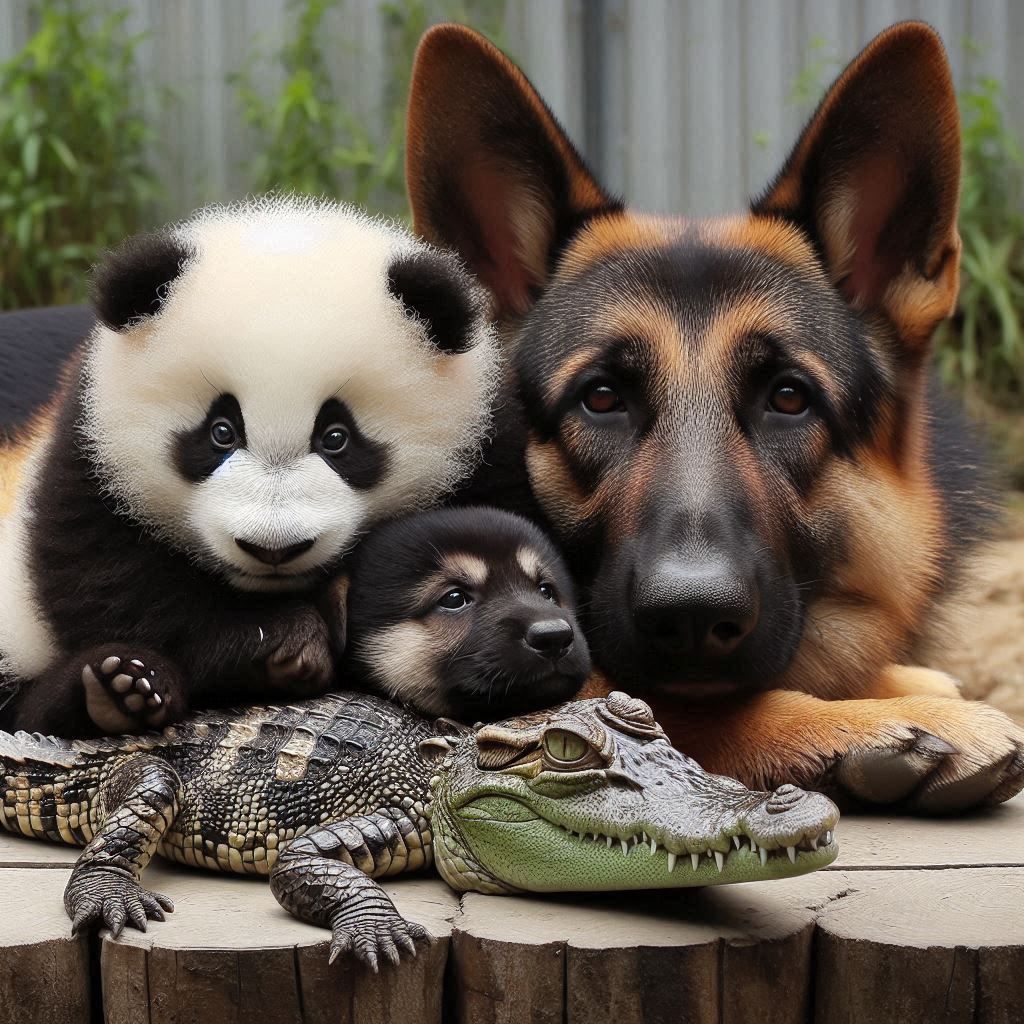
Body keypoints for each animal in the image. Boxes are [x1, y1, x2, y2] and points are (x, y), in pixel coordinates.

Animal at [0, 196, 498, 736]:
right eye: (222, 431)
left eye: (336, 438)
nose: (273, 548)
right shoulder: (92, 450)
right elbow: (103, 581)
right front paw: (286, 641)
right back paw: (116, 689)